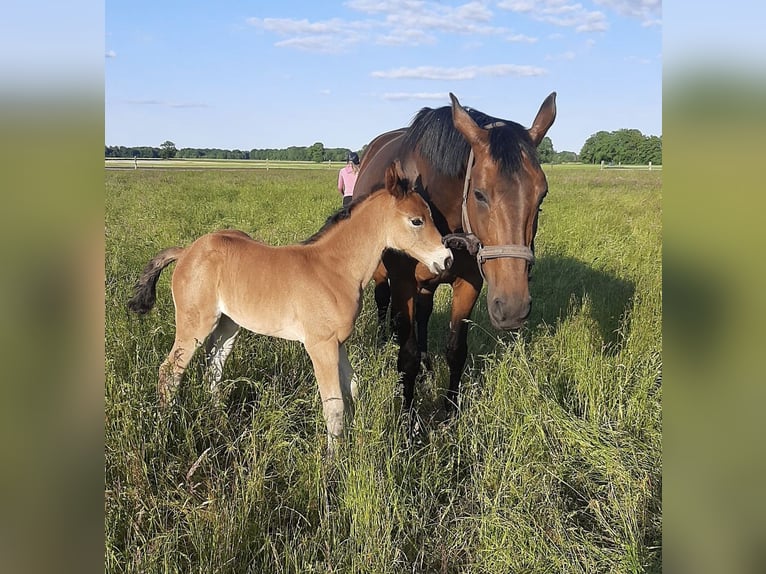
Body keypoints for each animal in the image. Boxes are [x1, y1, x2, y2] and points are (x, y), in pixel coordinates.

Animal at [127, 161, 454, 455]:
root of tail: (187, 252)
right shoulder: (320, 345)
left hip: (228, 325)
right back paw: (163, 431)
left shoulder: (338, 343)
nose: (447, 259)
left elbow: (353, 388)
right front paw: (333, 463)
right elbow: (333, 404)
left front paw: (357, 442)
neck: (334, 269)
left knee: (213, 370)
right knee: (170, 371)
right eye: (416, 221)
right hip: (196, 323)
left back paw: (220, 425)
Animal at [353, 92, 557, 415]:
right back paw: (385, 340)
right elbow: (406, 356)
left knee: (423, 314)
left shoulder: (469, 283)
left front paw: (450, 411)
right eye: (479, 194)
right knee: (383, 300)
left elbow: (456, 350)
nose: (512, 307)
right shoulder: (403, 283)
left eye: (542, 195)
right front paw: (408, 418)